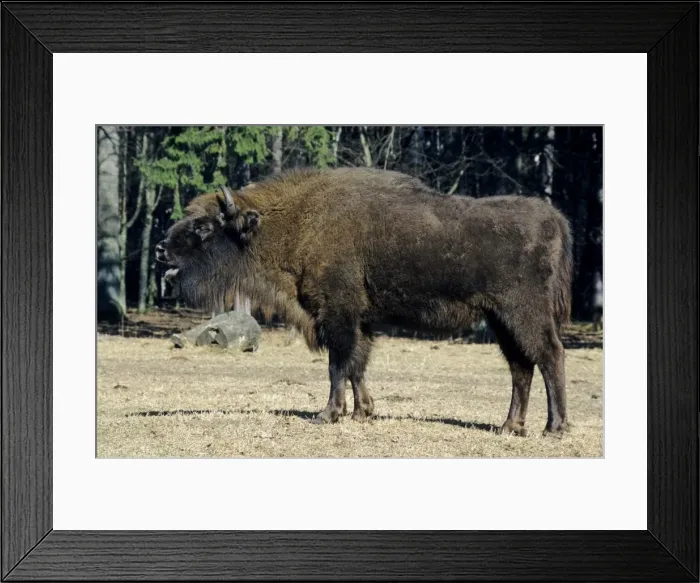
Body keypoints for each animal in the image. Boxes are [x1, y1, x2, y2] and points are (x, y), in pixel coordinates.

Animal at [156, 168, 573, 437]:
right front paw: (363, 413)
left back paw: (553, 428)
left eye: (204, 227)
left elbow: (338, 364)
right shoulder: (360, 321)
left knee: (549, 356)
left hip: (522, 313)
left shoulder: (337, 314)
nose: (161, 248)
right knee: (521, 367)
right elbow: (357, 364)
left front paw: (328, 414)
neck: (296, 222)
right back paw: (509, 427)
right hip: (500, 319)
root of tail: (553, 218)